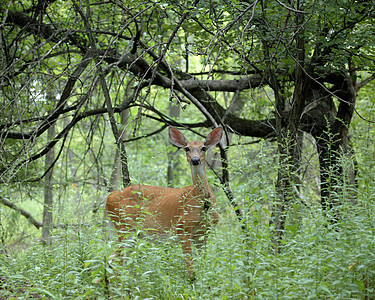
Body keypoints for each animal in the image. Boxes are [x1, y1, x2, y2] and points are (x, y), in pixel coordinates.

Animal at [106, 125, 223, 276]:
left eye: (203, 147)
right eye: (187, 148)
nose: (195, 160)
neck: (201, 201)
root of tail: (109, 197)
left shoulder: (203, 234)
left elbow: (203, 265)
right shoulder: (182, 228)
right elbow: (191, 270)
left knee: (112, 259)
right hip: (125, 226)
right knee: (116, 261)